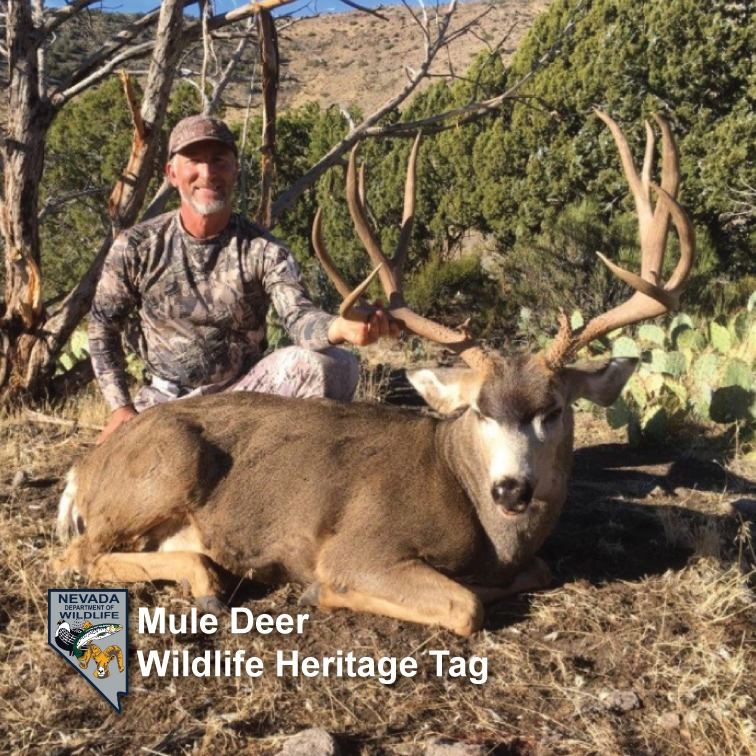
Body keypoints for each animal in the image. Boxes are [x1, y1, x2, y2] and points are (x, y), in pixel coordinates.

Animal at [55, 111, 694, 636]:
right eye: (479, 410)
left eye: (554, 409)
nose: (512, 488)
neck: (465, 495)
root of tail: (83, 471)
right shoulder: (360, 545)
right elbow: (465, 605)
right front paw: (319, 592)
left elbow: (537, 570)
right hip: (169, 464)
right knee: (76, 556)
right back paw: (209, 580)